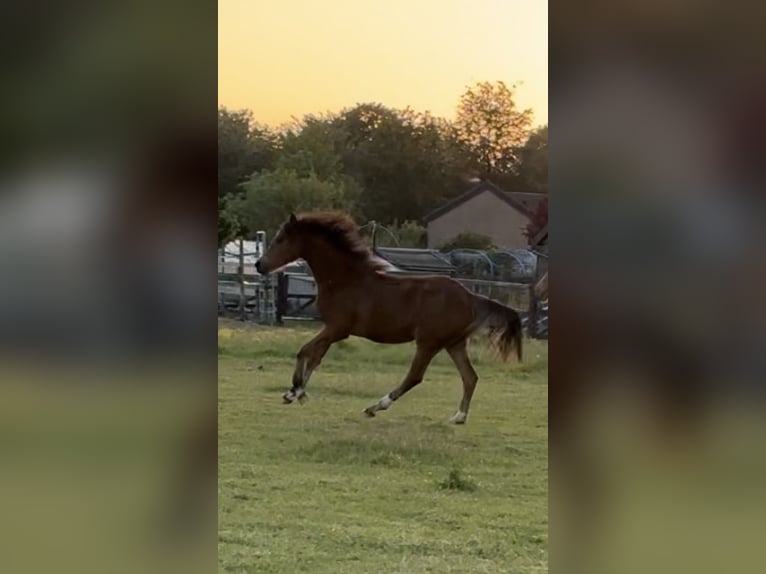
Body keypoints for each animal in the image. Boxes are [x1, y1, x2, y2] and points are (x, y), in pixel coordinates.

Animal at [255, 212, 524, 424]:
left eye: (280, 239)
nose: (259, 265)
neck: (344, 280)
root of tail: (470, 297)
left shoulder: (337, 328)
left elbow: (305, 351)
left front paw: (294, 392)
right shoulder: (332, 330)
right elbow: (315, 356)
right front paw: (297, 392)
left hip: (429, 342)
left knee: (415, 377)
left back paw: (375, 407)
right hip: (454, 343)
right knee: (470, 377)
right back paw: (458, 417)